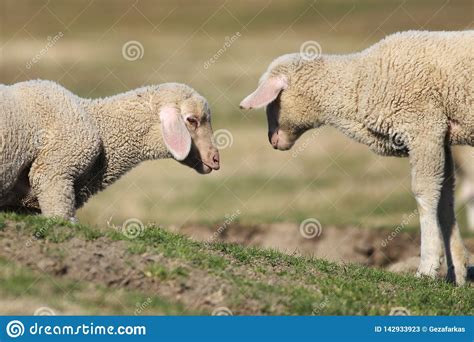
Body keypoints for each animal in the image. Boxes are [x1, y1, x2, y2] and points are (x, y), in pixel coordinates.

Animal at [241, 30, 474, 286]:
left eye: (273, 100)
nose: (272, 140)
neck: (361, 81)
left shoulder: (424, 127)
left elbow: (426, 194)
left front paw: (427, 267)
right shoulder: (441, 136)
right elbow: (445, 199)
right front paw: (456, 271)